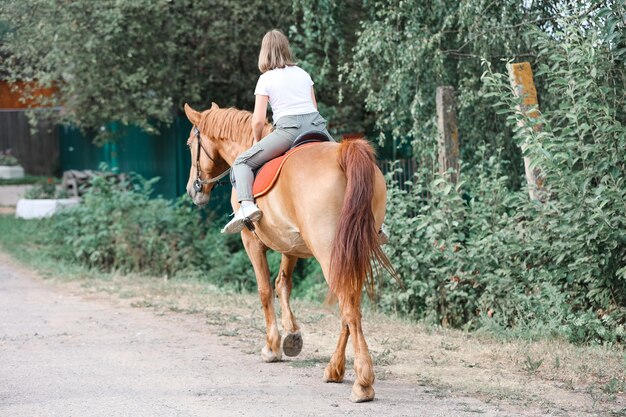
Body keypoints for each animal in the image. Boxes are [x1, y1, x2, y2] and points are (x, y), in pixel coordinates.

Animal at [183, 102, 392, 402]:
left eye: (190, 144)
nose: (193, 189)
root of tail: (344, 154)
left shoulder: (251, 240)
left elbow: (265, 290)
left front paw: (272, 346)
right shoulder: (289, 243)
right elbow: (283, 284)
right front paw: (292, 335)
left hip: (329, 253)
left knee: (349, 309)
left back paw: (362, 382)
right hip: (351, 253)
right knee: (350, 308)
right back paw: (334, 369)